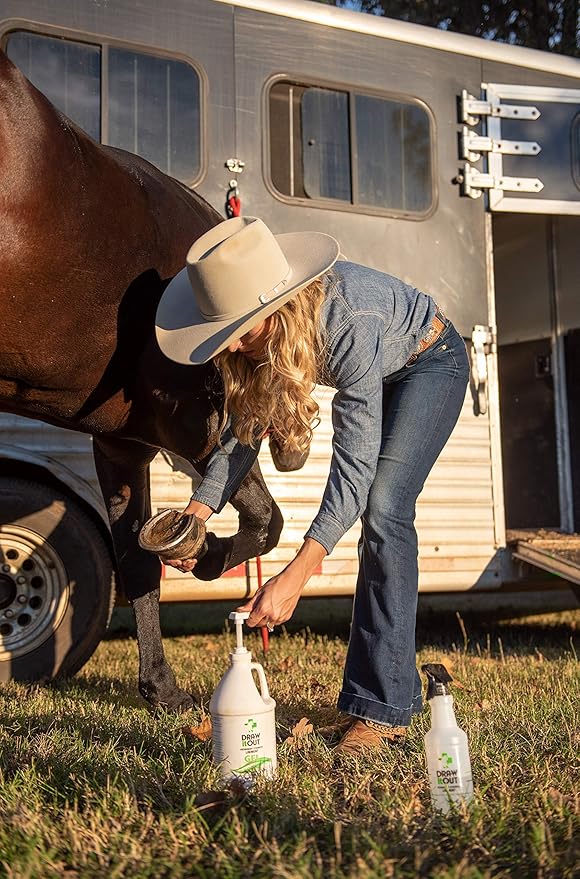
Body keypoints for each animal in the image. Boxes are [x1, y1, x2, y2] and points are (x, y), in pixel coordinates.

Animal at [0, 48, 286, 712]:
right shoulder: (191, 425)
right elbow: (265, 520)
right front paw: (207, 556)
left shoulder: (121, 445)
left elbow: (135, 559)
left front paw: (159, 686)